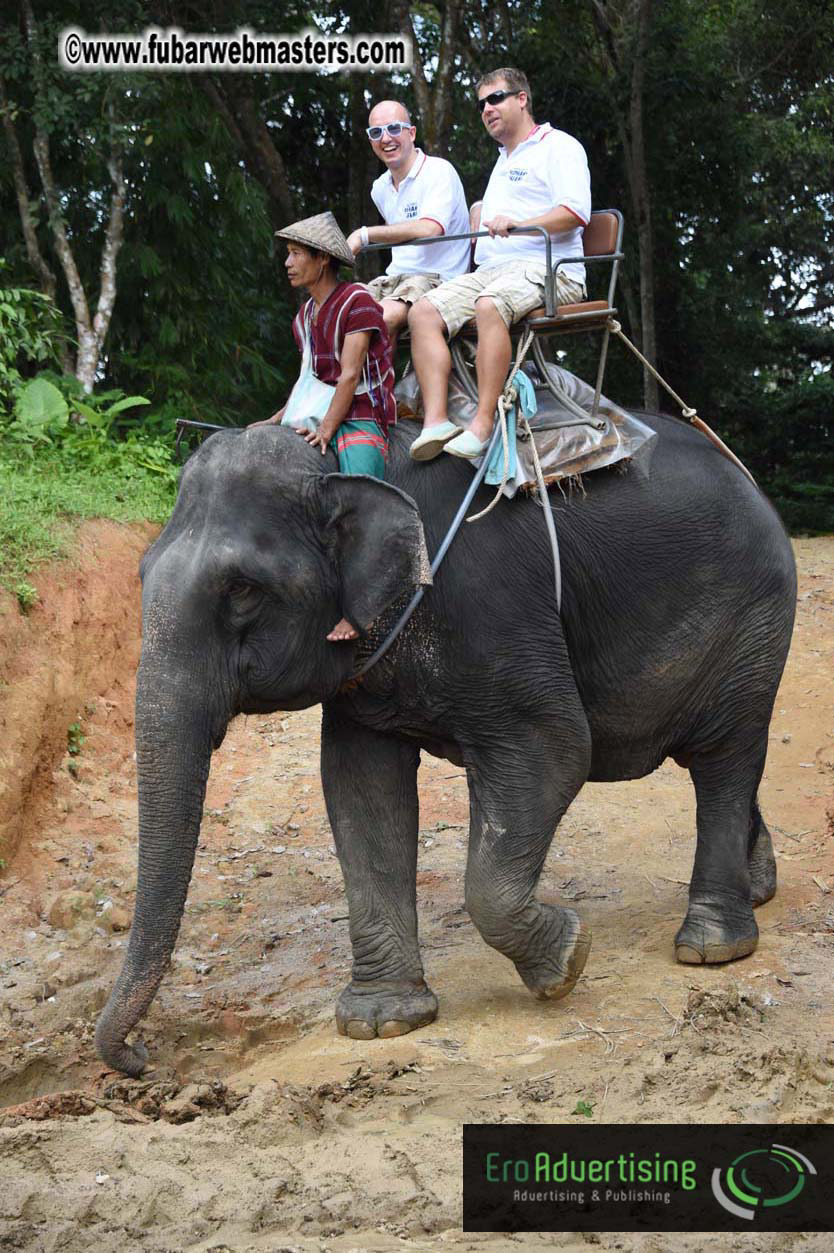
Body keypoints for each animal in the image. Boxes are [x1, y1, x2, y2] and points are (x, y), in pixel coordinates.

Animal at [95, 415, 796, 1076]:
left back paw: (711, 946)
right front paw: (381, 1023)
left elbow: (555, 747)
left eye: (240, 589)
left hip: (753, 623)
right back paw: (757, 889)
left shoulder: (497, 611)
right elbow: (359, 788)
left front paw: (567, 959)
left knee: (725, 759)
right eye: (141, 575)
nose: (141, 1056)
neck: (346, 467)